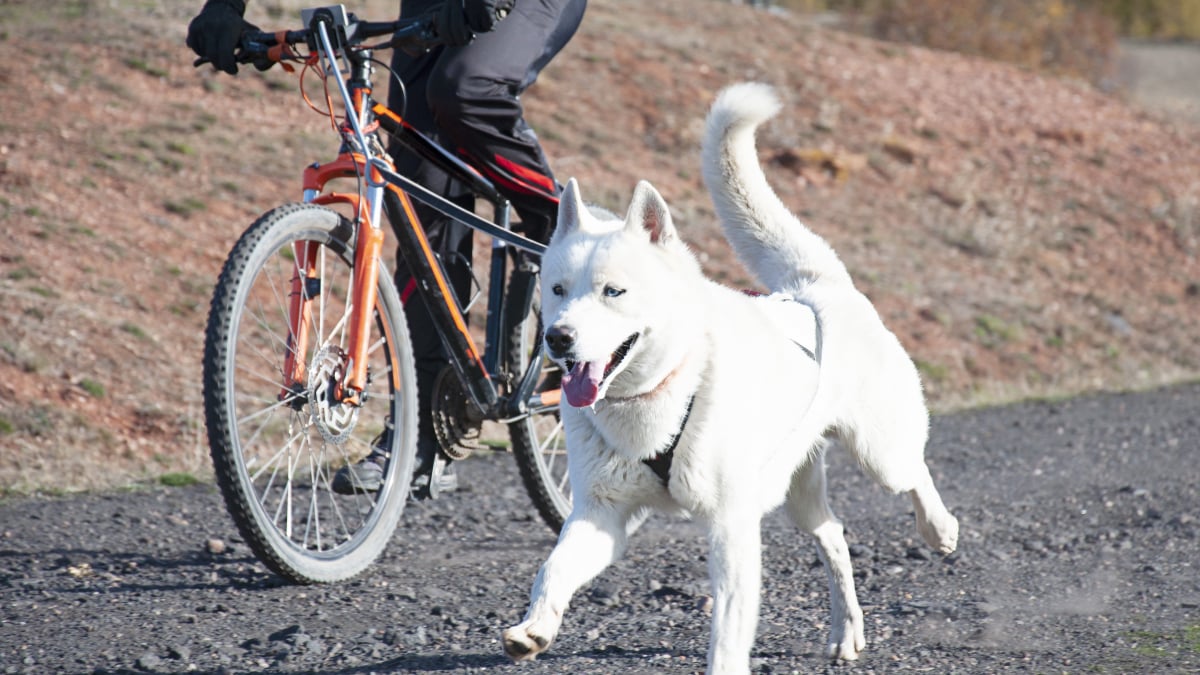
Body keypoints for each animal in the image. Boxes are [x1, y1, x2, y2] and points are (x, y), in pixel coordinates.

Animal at [499, 81, 955, 667]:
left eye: (613, 291)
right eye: (557, 289)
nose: (557, 338)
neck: (663, 393)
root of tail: (815, 285)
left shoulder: (730, 528)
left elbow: (728, 628)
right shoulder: (601, 517)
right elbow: (551, 570)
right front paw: (534, 628)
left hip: (880, 455)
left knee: (914, 472)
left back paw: (939, 529)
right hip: (799, 493)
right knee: (833, 535)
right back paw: (846, 631)